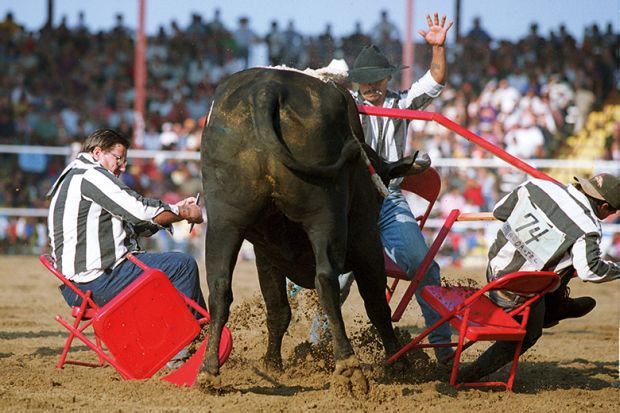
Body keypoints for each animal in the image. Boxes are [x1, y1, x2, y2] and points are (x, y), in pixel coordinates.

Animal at [200, 68, 412, 390]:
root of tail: (267, 90)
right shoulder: (367, 245)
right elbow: (376, 305)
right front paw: (398, 363)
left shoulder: (265, 255)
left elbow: (277, 309)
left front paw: (272, 364)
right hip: (324, 215)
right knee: (325, 280)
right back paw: (348, 366)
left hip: (225, 221)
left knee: (219, 287)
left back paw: (209, 370)